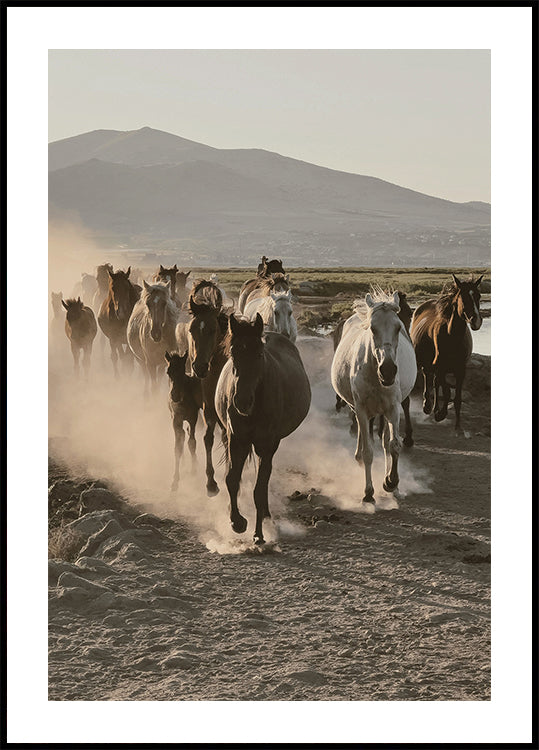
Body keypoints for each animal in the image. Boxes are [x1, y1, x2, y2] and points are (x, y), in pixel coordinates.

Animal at [216, 312, 312, 548]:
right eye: (233, 353)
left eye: (259, 354)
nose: (242, 401)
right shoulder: (236, 440)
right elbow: (232, 479)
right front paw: (237, 521)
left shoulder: (266, 445)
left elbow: (259, 489)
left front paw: (258, 534)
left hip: (270, 446)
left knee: (264, 480)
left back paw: (267, 519)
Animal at [412, 274, 484, 434]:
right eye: (463, 297)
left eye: (478, 296)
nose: (476, 321)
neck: (452, 337)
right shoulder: (440, 368)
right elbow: (446, 392)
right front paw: (440, 414)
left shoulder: (460, 370)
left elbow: (456, 398)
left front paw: (458, 427)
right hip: (425, 362)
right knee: (427, 377)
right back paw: (428, 406)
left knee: (434, 382)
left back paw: (434, 408)